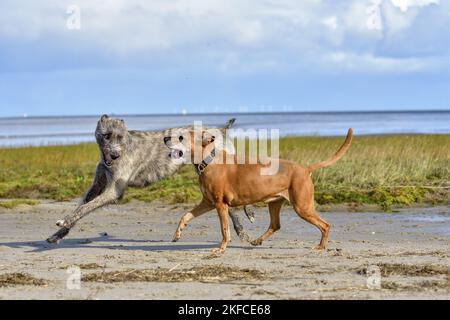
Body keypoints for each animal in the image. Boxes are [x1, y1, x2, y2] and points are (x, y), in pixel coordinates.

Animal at [46, 116, 250, 244]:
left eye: (121, 136)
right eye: (106, 135)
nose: (115, 155)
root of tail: (221, 130)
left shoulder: (113, 191)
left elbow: (85, 207)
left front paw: (63, 222)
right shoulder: (98, 183)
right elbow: (83, 204)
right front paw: (58, 234)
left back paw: (246, 222)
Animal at [163, 129, 354, 254]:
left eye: (181, 137)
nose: (164, 138)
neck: (209, 160)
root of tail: (305, 169)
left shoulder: (220, 205)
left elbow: (225, 229)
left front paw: (221, 248)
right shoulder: (208, 203)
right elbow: (185, 216)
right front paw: (177, 234)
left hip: (302, 207)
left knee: (325, 225)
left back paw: (321, 246)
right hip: (275, 204)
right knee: (275, 225)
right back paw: (257, 240)